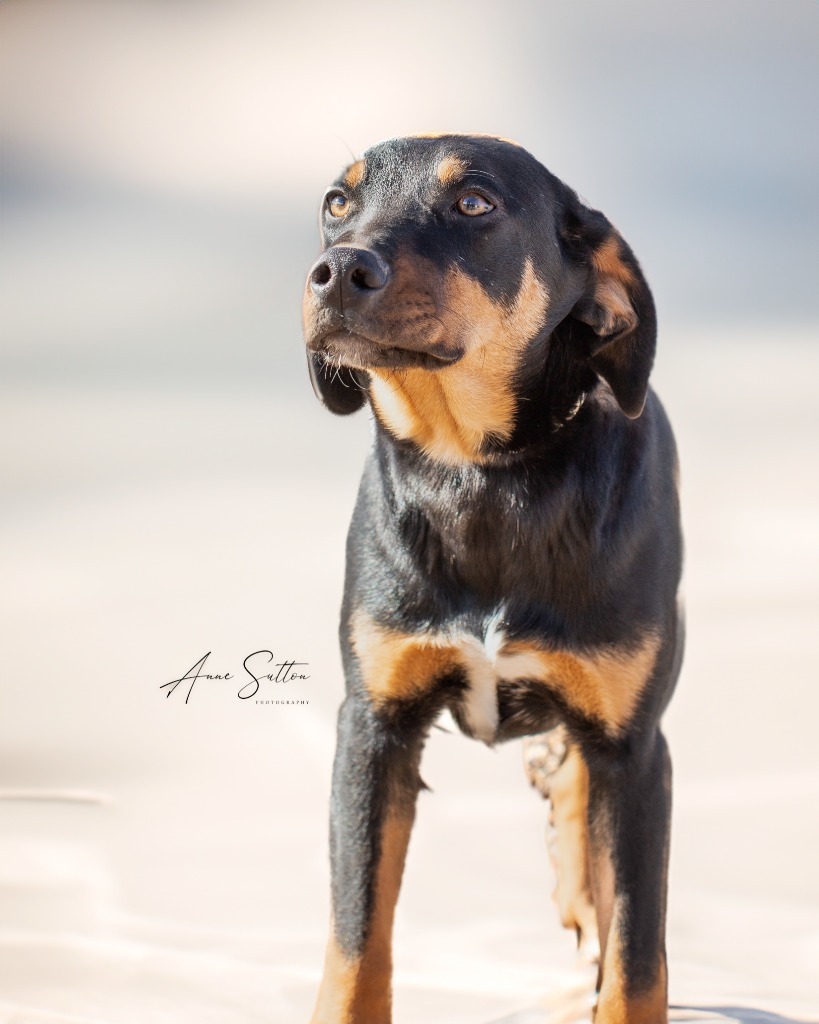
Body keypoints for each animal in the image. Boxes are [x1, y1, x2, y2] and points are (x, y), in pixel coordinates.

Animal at [300, 136, 683, 1024]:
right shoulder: (372, 730)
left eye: (473, 203)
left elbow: (636, 957)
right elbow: (355, 941)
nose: (337, 270)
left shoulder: (636, 752)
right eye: (337, 201)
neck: (477, 477)